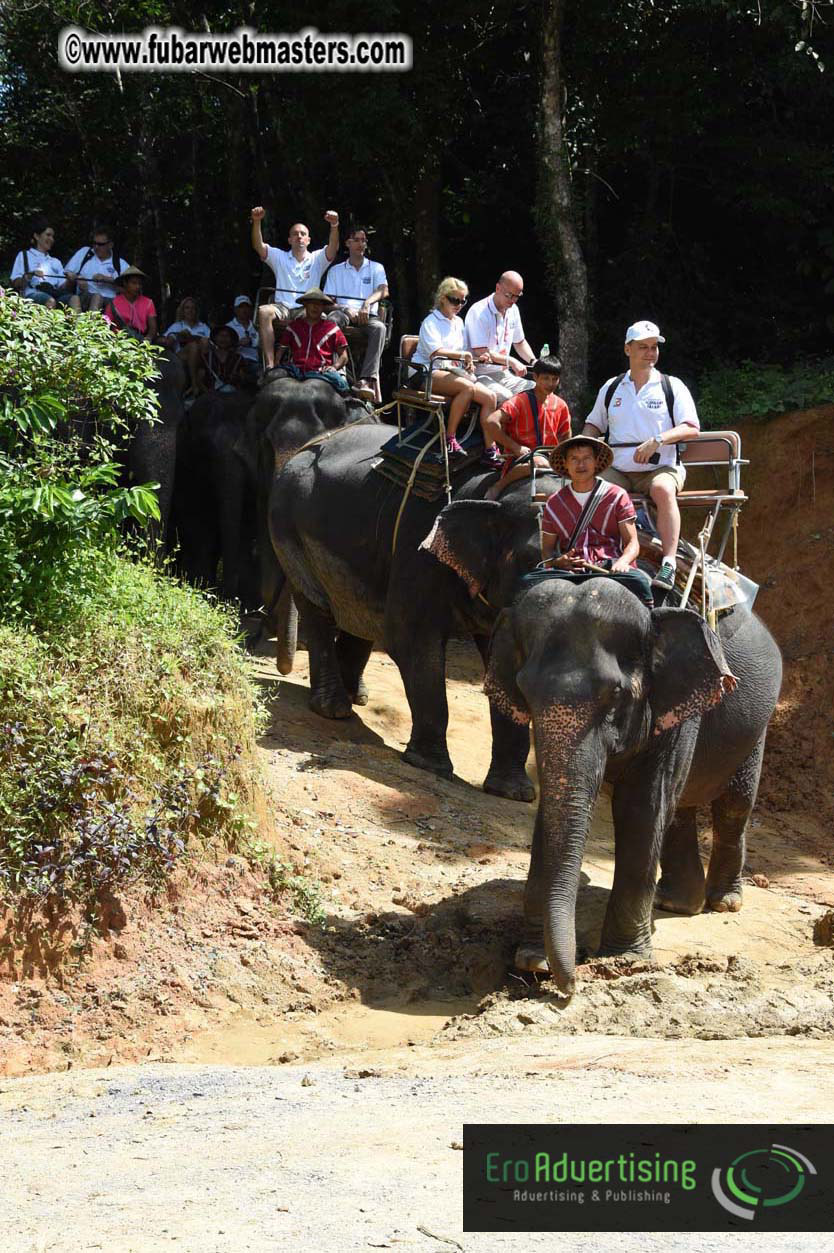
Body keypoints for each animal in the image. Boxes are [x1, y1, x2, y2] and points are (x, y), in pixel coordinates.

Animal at [268, 425, 565, 801]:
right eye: (531, 560)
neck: (495, 489)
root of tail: (309, 445)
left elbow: (505, 667)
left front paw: (513, 793)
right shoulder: (420, 553)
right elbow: (412, 642)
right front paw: (430, 767)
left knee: (360, 613)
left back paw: (356, 697)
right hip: (288, 525)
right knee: (319, 607)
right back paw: (334, 709)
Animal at [479, 570, 782, 995]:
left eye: (616, 695)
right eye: (524, 691)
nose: (567, 990)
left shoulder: (675, 703)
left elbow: (642, 805)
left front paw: (623, 962)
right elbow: (555, 808)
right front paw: (533, 959)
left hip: (756, 728)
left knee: (732, 806)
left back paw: (723, 902)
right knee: (680, 809)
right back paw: (675, 903)